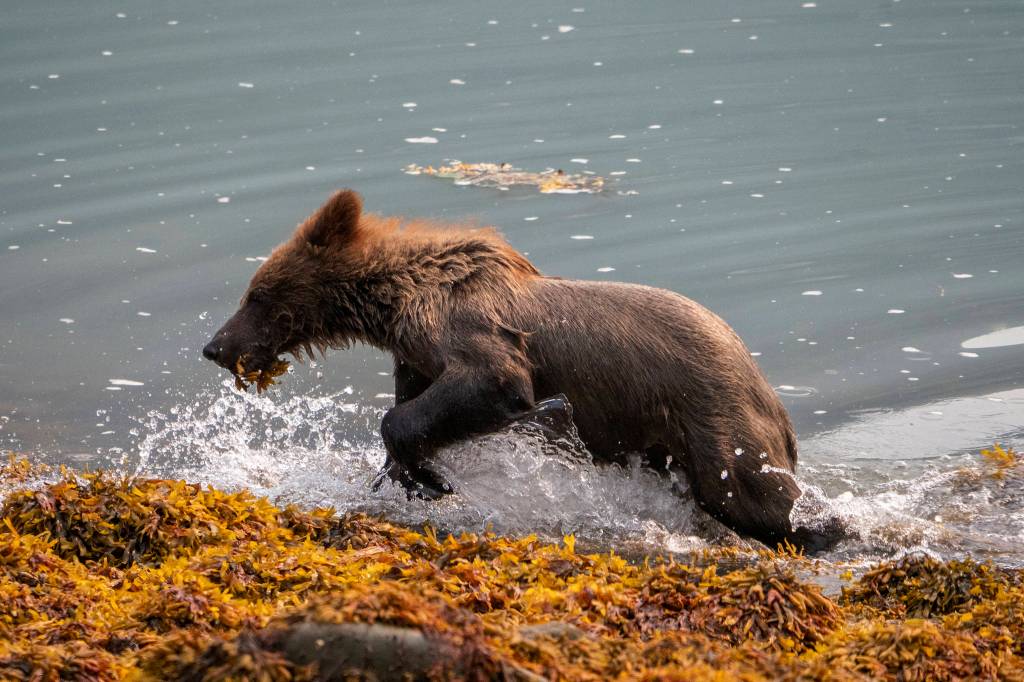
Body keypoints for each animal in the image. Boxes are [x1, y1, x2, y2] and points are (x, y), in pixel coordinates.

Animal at [203, 189, 842, 551]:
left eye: (256, 294)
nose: (214, 345)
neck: (398, 304)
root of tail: (770, 393)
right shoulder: (415, 357)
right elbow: (417, 406)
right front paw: (408, 473)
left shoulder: (467, 330)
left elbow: (492, 382)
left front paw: (425, 474)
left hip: (712, 412)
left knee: (751, 490)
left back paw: (826, 530)